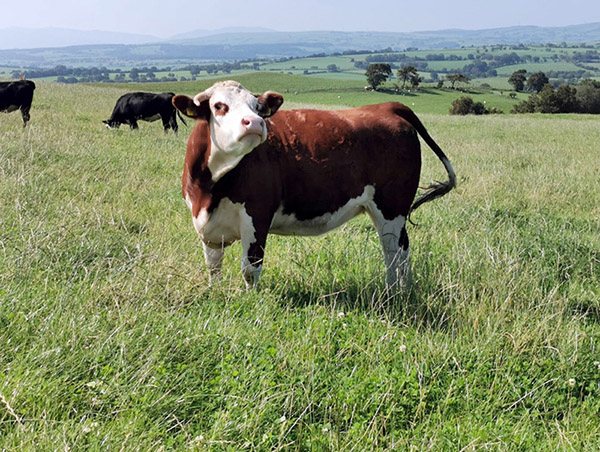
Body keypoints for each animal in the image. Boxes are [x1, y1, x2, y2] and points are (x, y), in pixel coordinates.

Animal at [173, 79, 454, 288]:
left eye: (257, 107)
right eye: (219, 105)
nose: (256, 122)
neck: (210, 189)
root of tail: (387, 106)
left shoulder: (257, 215)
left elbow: (250, 269)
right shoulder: (206, 225)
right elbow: (213, 266)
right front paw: (216, 293)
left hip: (391, 207)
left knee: (394, 252)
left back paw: (392, 293)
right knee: (401, 249)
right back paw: (401, 291)